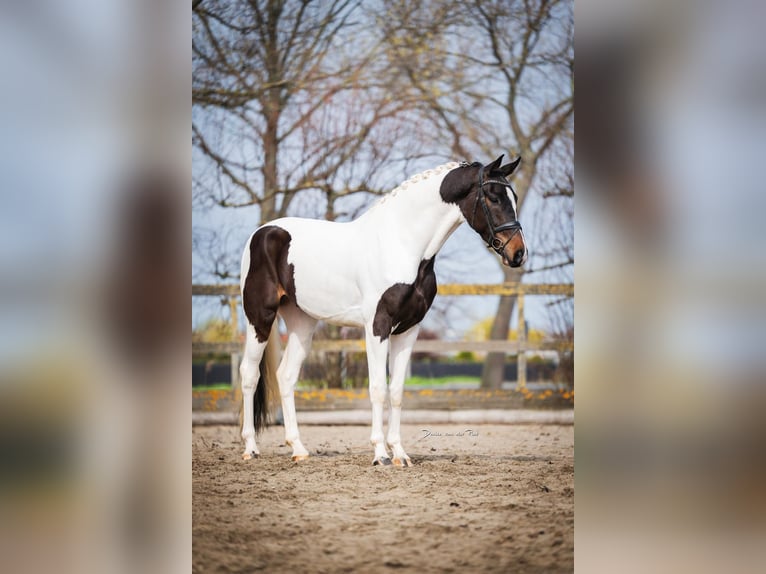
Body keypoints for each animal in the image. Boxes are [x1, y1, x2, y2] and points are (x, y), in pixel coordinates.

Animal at [238, 155, 527, 466]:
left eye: (514, 197)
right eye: (493, 197)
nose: (518, 253)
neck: (401, 244)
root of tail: (261, 233)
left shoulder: (408, 330)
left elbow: (397, 391)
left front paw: (400, 453)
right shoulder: (377, 326)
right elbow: (378, 388)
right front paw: (380, 454)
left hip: (301, 323)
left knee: (286, 377)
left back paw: (299, 449)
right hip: (259, 318)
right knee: (249, 374)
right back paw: (250, 448)